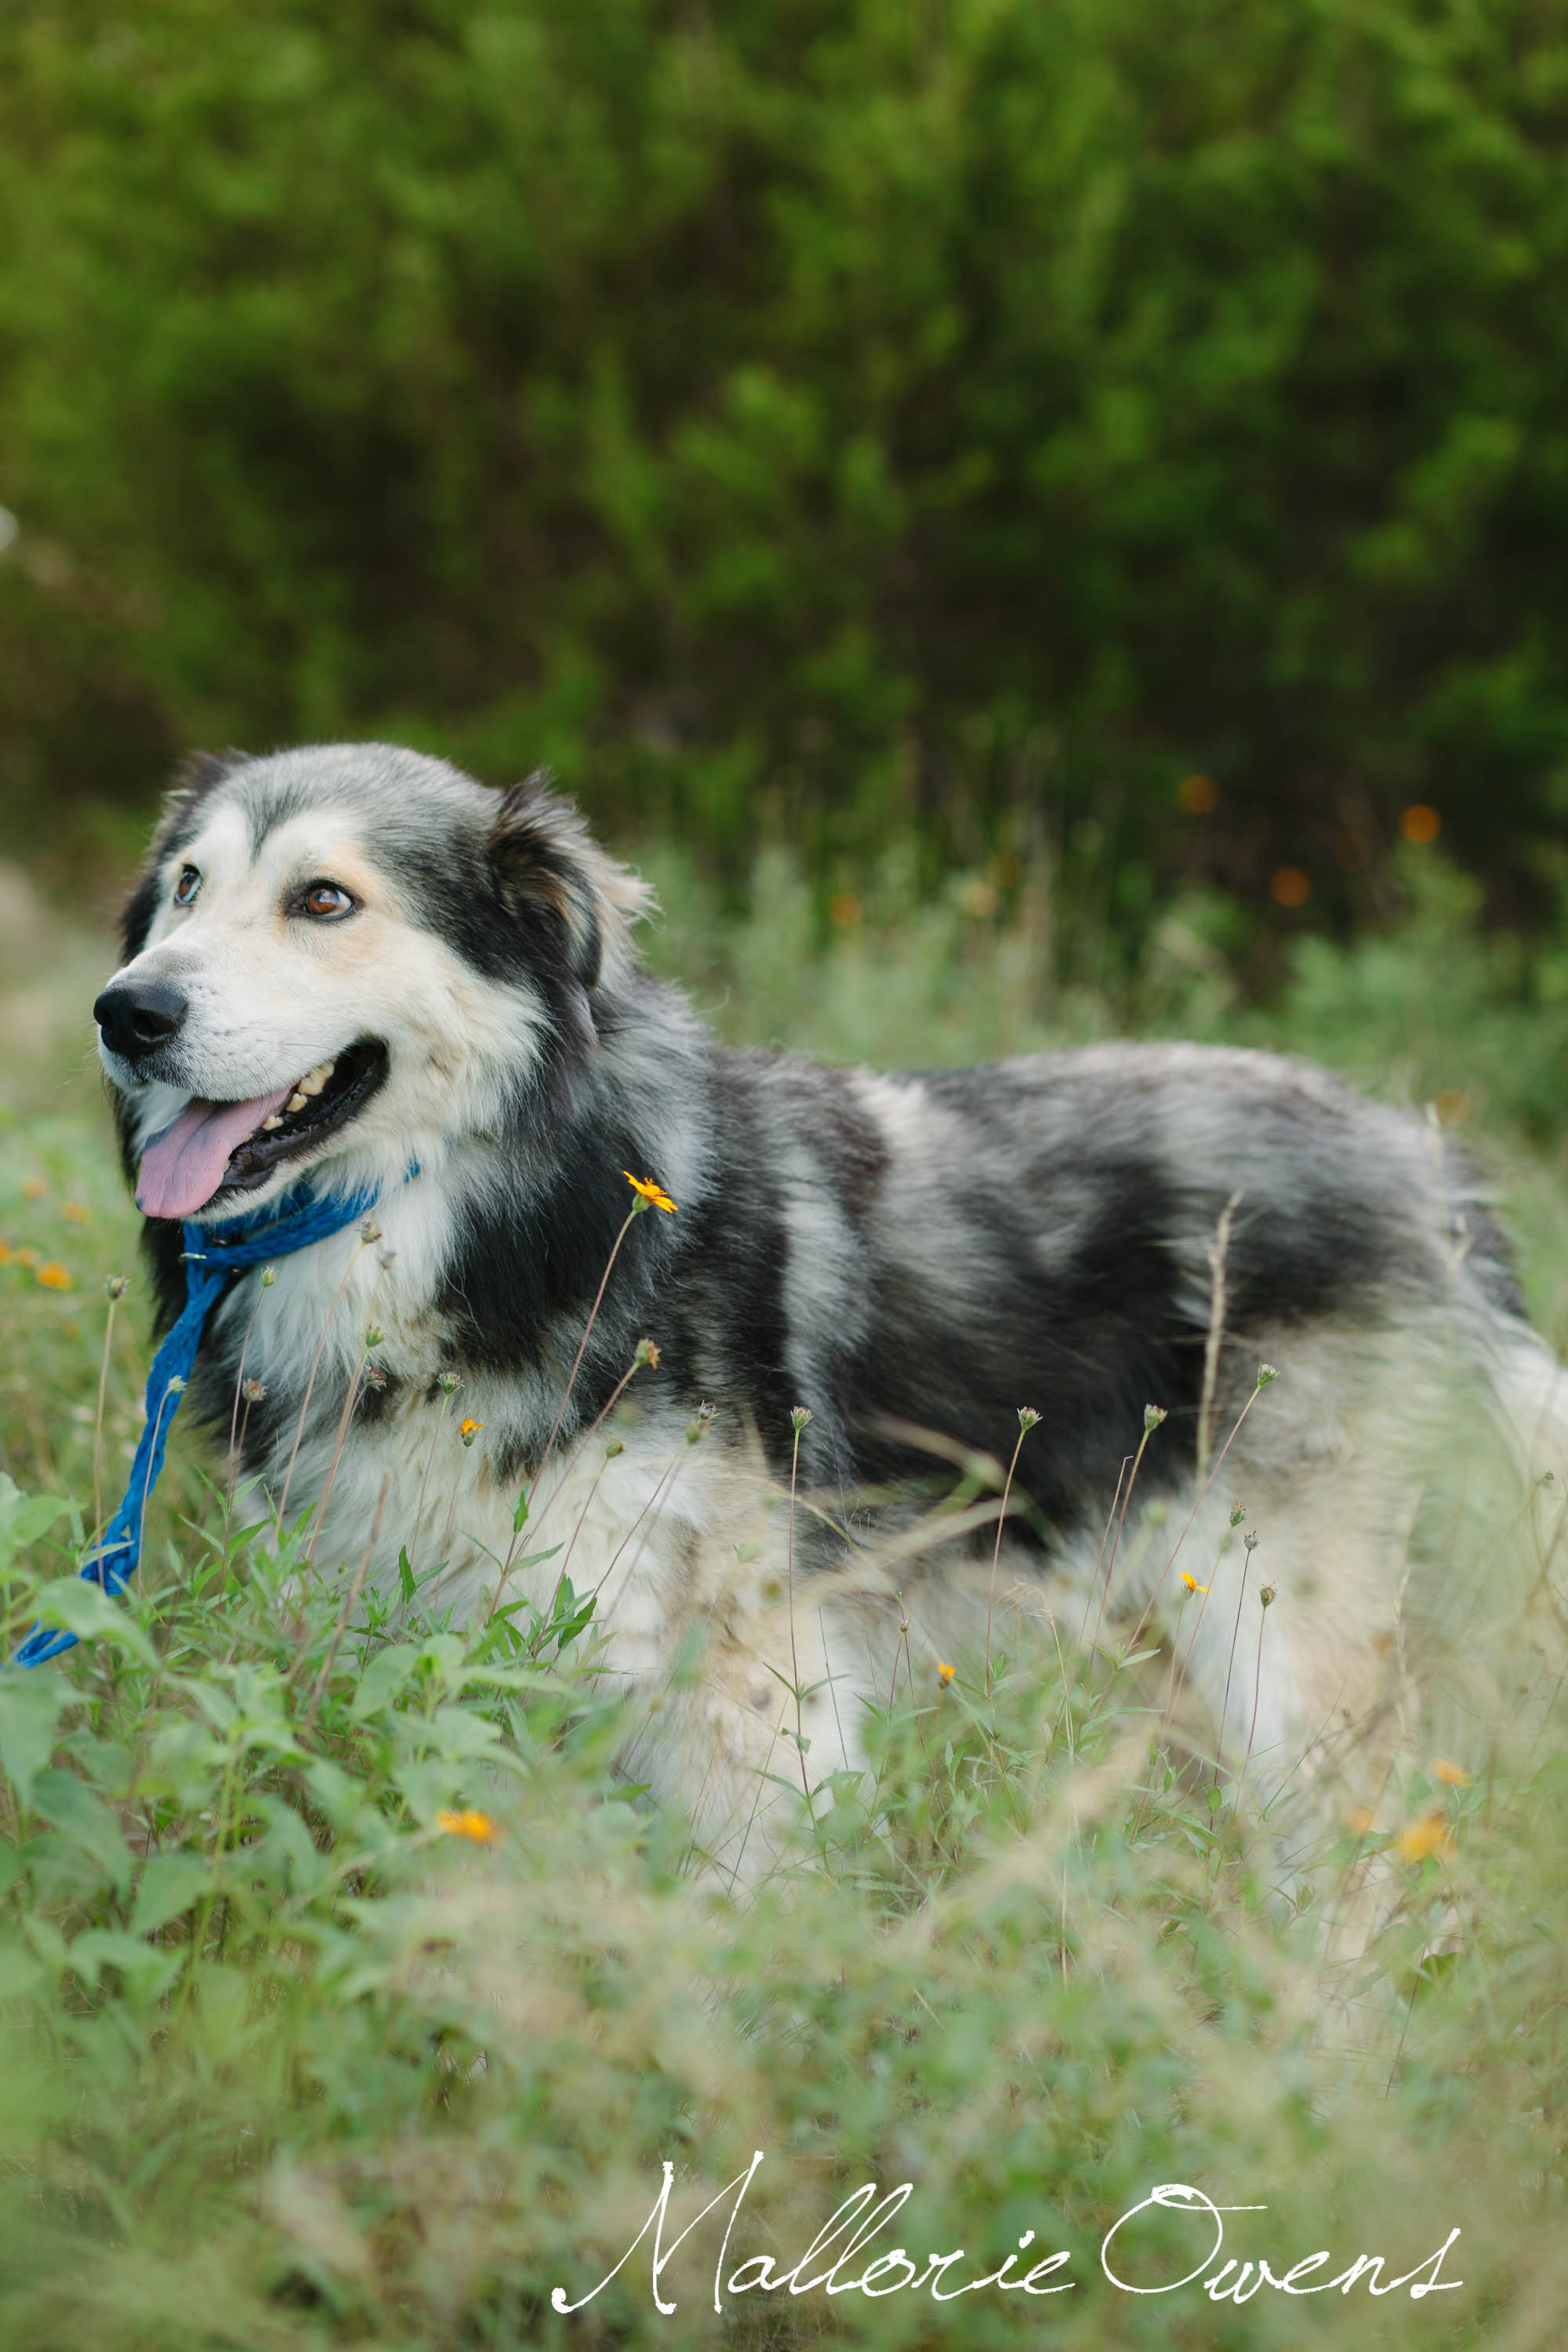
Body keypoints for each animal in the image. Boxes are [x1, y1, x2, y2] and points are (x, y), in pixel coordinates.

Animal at [95, 748, 1568, 1872]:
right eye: (185, 890)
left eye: (323, 899)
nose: (127, 1013)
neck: (504, 1207)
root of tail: (1433, 1166)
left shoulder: (743, 1694)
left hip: (1289, 1660)